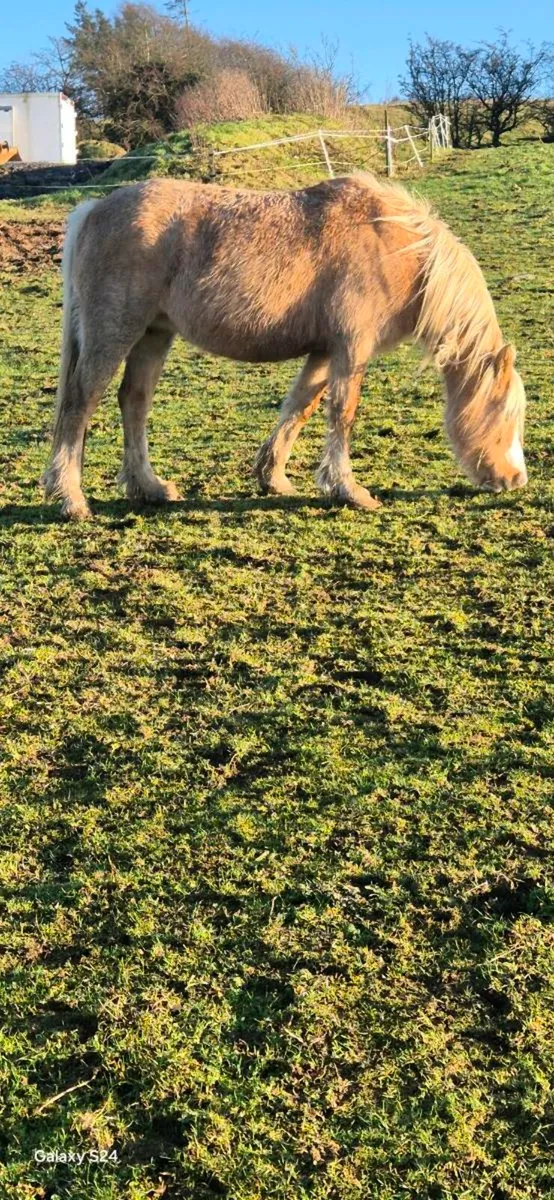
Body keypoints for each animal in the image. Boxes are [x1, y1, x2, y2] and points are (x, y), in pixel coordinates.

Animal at [43, 173, 527, 520]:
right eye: (506, 415)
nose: (515, 479)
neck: (395, 246)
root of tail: (92, 209)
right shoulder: (351, 349)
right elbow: (342, 413)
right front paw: (349, 490)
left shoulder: (325, 351)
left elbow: (300, 406)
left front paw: (272, 477)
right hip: (114, 333)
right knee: (80, 402)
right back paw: (72, 499)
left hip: (153, 334)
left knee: (134, 402)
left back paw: (151, 487)